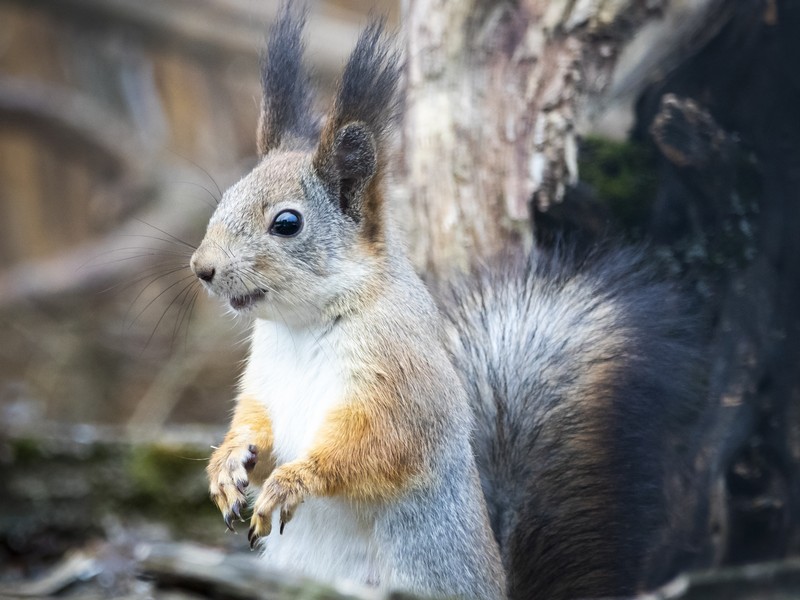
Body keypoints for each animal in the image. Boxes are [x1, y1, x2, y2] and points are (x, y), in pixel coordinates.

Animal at [190, 6, 704, 600]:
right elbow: (254, 424)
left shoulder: (403, 384)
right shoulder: (264, 383)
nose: (202, 268)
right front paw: (227, 466)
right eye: (227, 198)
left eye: (287, 223)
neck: (301, 327)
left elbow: (377, 450)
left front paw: (292, 480)